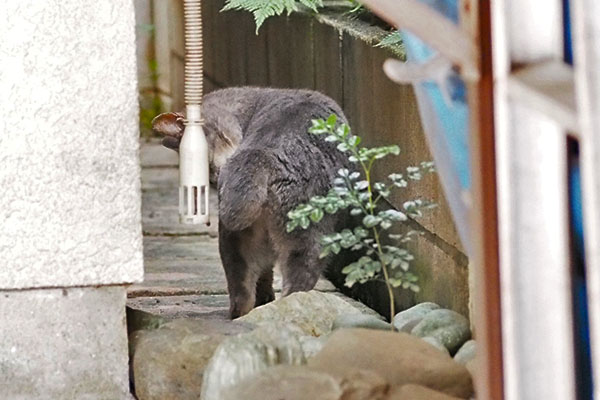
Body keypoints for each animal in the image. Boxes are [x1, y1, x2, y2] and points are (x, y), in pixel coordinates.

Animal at [152, 87, 354, 318]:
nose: (218, 175)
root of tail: (260, 156)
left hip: (233, 241)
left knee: (241, 293)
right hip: (309, 236)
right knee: (295, 286)